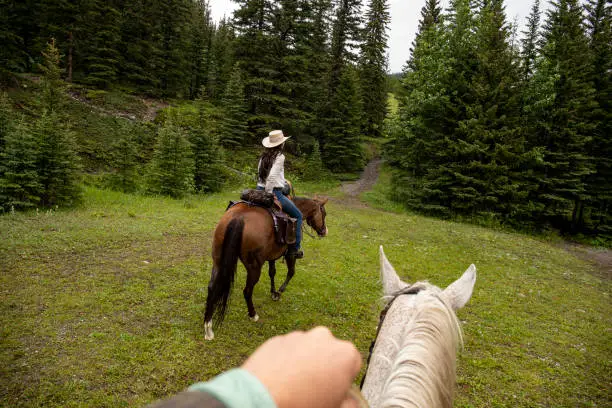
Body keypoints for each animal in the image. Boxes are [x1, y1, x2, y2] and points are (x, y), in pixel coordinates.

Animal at [203, 196, 328, 340]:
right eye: (324, 213)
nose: (324, 231)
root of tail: (238, 218)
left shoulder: (272, 256)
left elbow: (272, 272)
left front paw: (273, 291)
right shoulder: (290, 255)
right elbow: (291, 272)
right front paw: (278, 292)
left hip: (218, 261)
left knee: (212, 287)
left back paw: (208, 327)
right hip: (254, 267)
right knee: (247, 291)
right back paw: (253, 315)